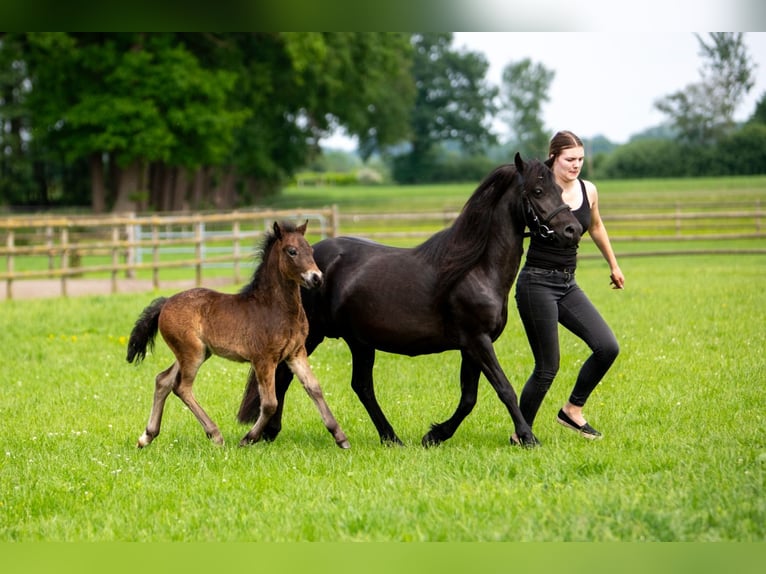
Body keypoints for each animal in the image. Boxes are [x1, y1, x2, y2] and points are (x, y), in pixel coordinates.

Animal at [240, 154, 584, 450]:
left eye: (558, 188)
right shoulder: (478, 341)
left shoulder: (472, 347)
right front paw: (528, 437)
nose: (573, 229)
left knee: (360, 386)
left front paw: (435, 435)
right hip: (313, 336)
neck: (475, 269)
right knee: (285, 376)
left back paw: (390, 437)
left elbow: (469, 398)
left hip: (360, 342)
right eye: (537, 190)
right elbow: (505, 389)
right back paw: (269, 432)